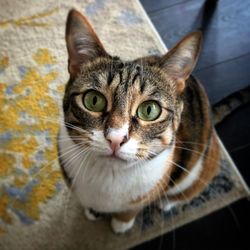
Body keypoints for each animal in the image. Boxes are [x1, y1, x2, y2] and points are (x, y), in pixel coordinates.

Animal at [58, 8, 221, 234]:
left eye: (149, 110)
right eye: (93, 100)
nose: (115, 139)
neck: (108, 175)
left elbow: (133, 207)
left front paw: (121, 224)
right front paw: (93, 211)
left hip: (204, 161)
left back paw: (167, 202)